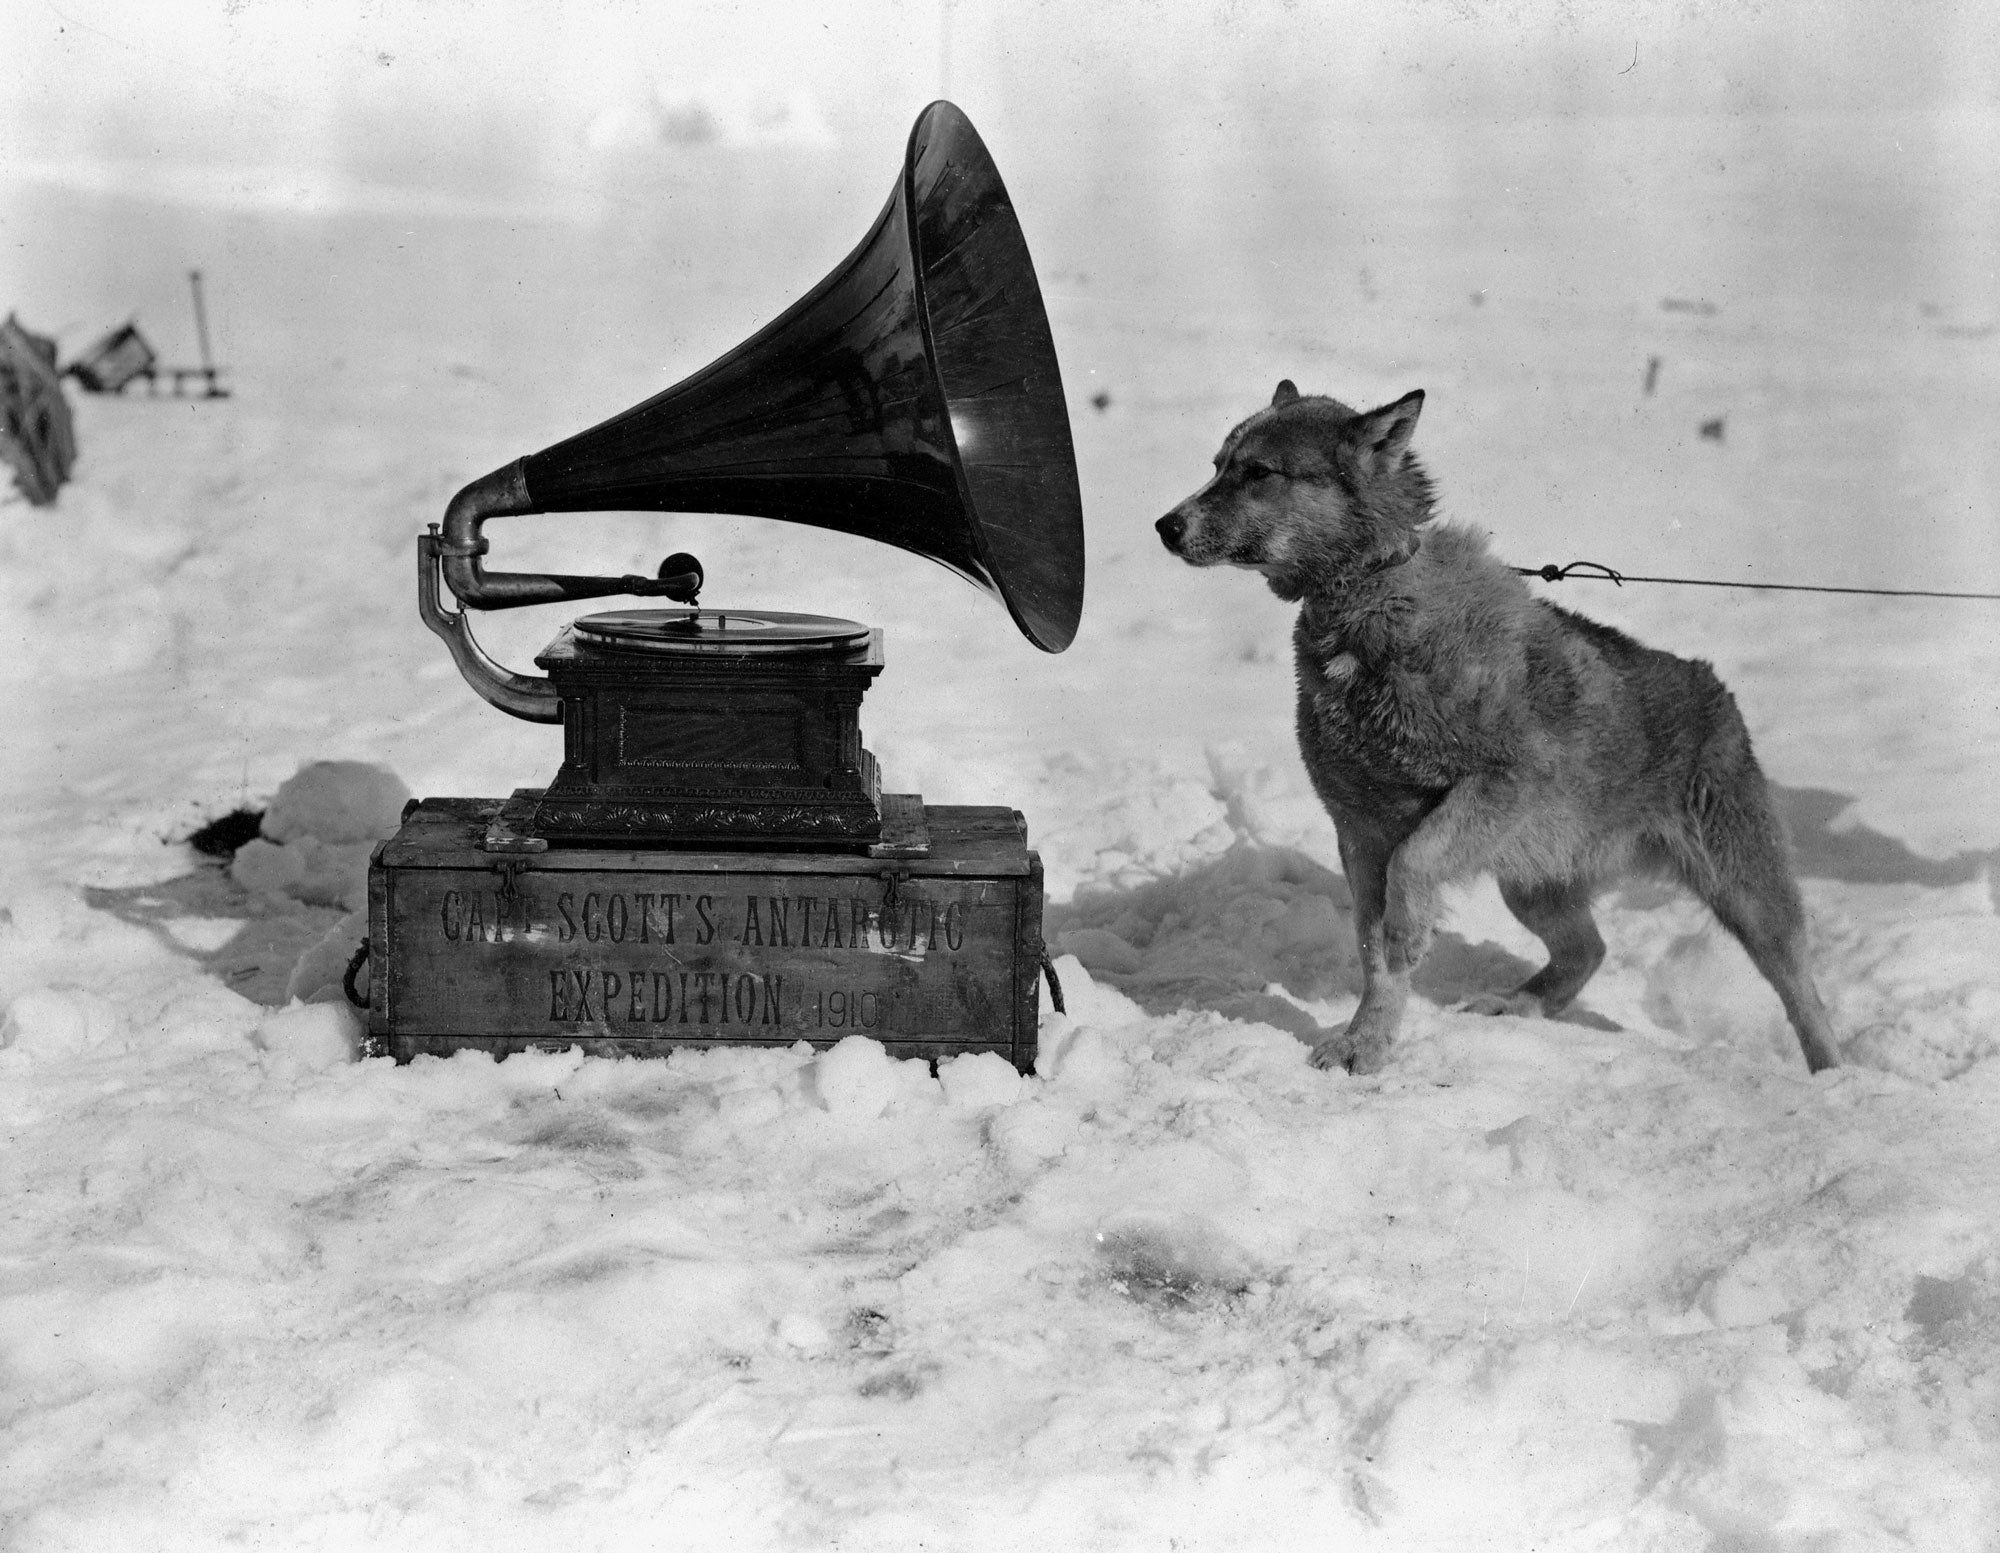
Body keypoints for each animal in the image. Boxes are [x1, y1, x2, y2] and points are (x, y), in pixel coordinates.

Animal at [1152, 382, 1832, 1072]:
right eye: (1217, 466)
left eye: (1259, 472)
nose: (1165, 525)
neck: (1371, 599)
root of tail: (1714, 689)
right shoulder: (1361, 833)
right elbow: (1375, 957)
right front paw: (1365, 1043)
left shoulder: (1495, 788)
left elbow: (1413, 872)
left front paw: (1406, 945)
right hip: (1531, 881)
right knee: (1587, 949)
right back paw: (1517, 1005)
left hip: (1747, 894)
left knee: (1805, 996)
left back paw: (1831, 1074)